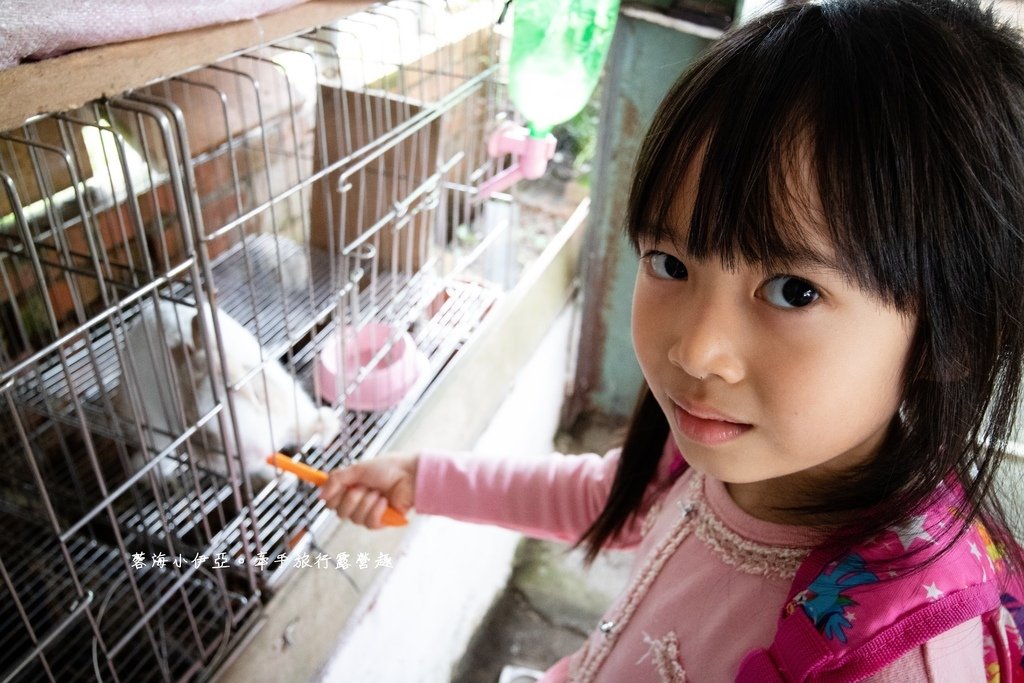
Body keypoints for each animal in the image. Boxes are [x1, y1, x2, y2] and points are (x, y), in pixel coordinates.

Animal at [116, 301, 339, 489]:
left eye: (251, 393)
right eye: (188, 419)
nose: (253, 454)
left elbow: (305, 421)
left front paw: (328, 427)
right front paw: (285, 479)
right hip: (154, 427)